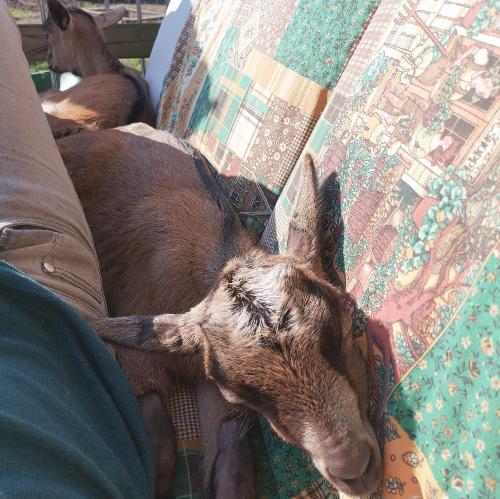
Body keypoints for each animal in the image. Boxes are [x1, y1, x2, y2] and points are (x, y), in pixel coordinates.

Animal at [56, 122, 383, 498]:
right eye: (246, 392)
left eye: (337, 326)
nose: (352, 465)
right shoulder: (145, 358)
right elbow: (161, 453)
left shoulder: (219, 402)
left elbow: (231, 465)